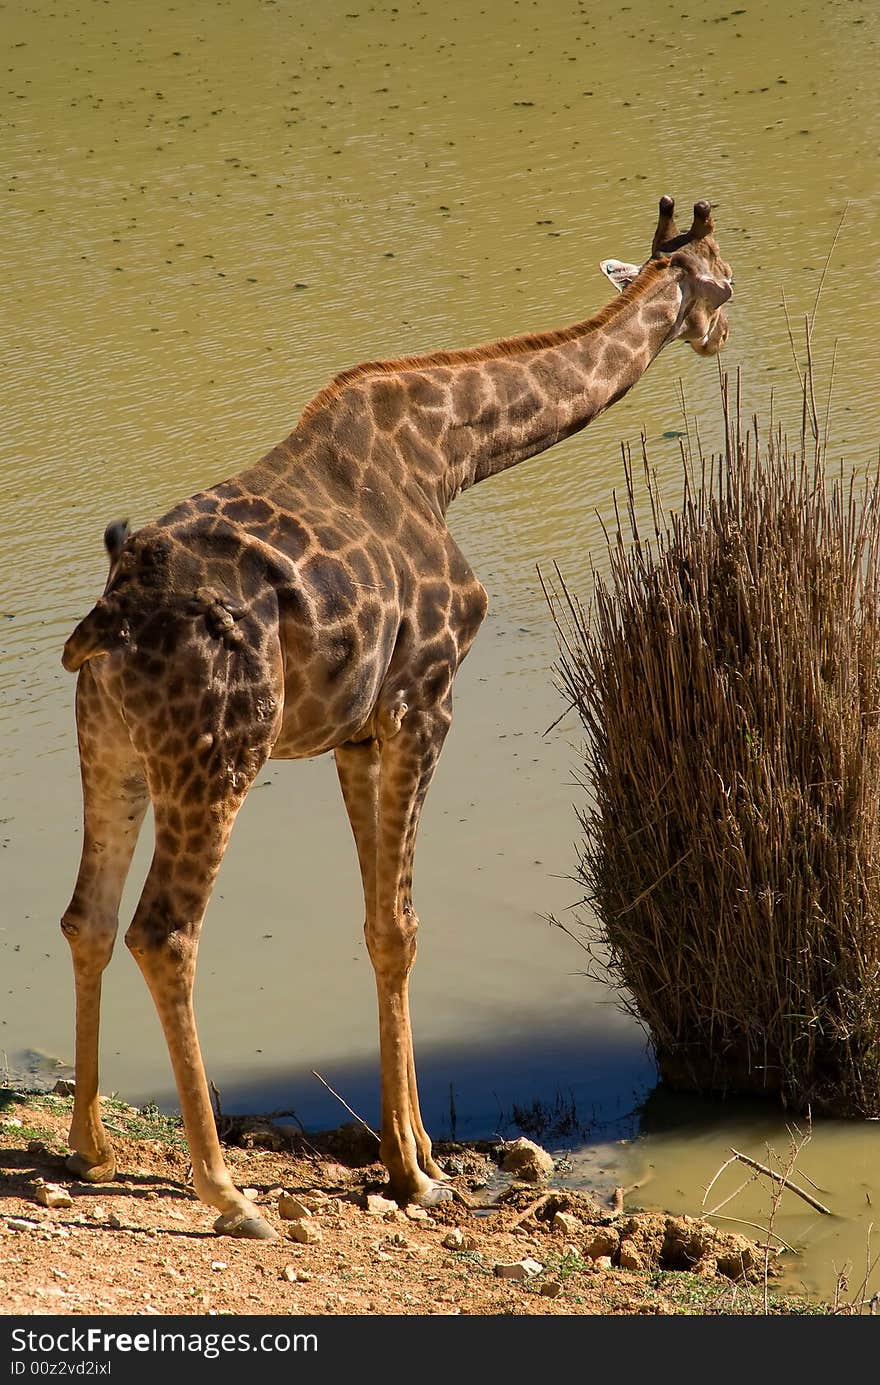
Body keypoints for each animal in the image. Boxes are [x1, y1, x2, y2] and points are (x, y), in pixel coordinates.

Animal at [60, 192, 731, 1235]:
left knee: (86, 916)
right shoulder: (426, 699)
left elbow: (380, 922)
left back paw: (89, 1145)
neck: (453, 456)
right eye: (726, 280)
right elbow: (405, 924)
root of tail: (112, 619)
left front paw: (411, 1152)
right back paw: (228, 1192)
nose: (722, 335)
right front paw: (414, 1169)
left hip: (111, 748)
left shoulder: (357, 732)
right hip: (218, 755)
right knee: (162, 930)